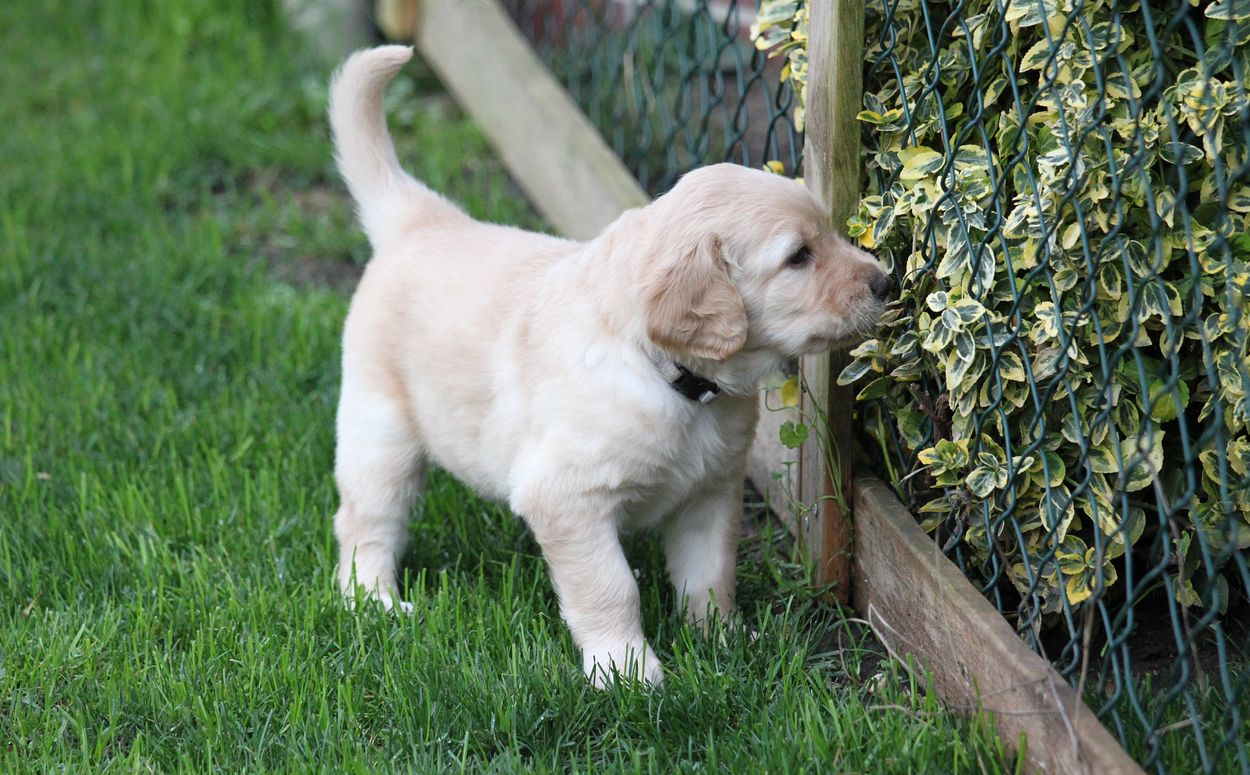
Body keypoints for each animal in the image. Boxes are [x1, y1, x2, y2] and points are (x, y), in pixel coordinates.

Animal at [327, 45, 890, 687]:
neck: (672, 377)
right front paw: (627, 671)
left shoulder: (711, 490)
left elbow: (709, 572)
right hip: (380, 431)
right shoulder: (568, 498)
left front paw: (723, 642)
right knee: (366, 521)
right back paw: (373, 600)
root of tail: (423, 220)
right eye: (798, 256)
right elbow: (610, 587)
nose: (886, 282)